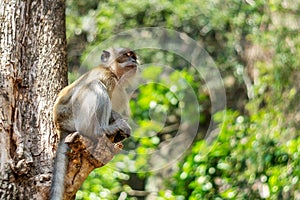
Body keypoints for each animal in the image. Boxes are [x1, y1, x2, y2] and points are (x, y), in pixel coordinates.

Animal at [50, 47, 138, 200]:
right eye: (126, 55)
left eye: (133, 56)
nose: (134, 60)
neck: (110, 69)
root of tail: (60, 126)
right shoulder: (109, 78)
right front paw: (115, 126)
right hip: (76, 117)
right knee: (95, 85)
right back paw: (103, 130)